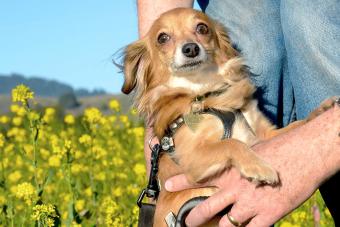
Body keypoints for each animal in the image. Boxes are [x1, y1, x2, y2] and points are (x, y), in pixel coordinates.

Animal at [121, 7, 330, 227]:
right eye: (162, 38)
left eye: (202, 28)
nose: (190, 48)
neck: (205, 91)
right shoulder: (191, 158)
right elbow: (231, 143)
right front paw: (258, 166)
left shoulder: (264, 135)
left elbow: (295, 126)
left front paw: (319, 112)